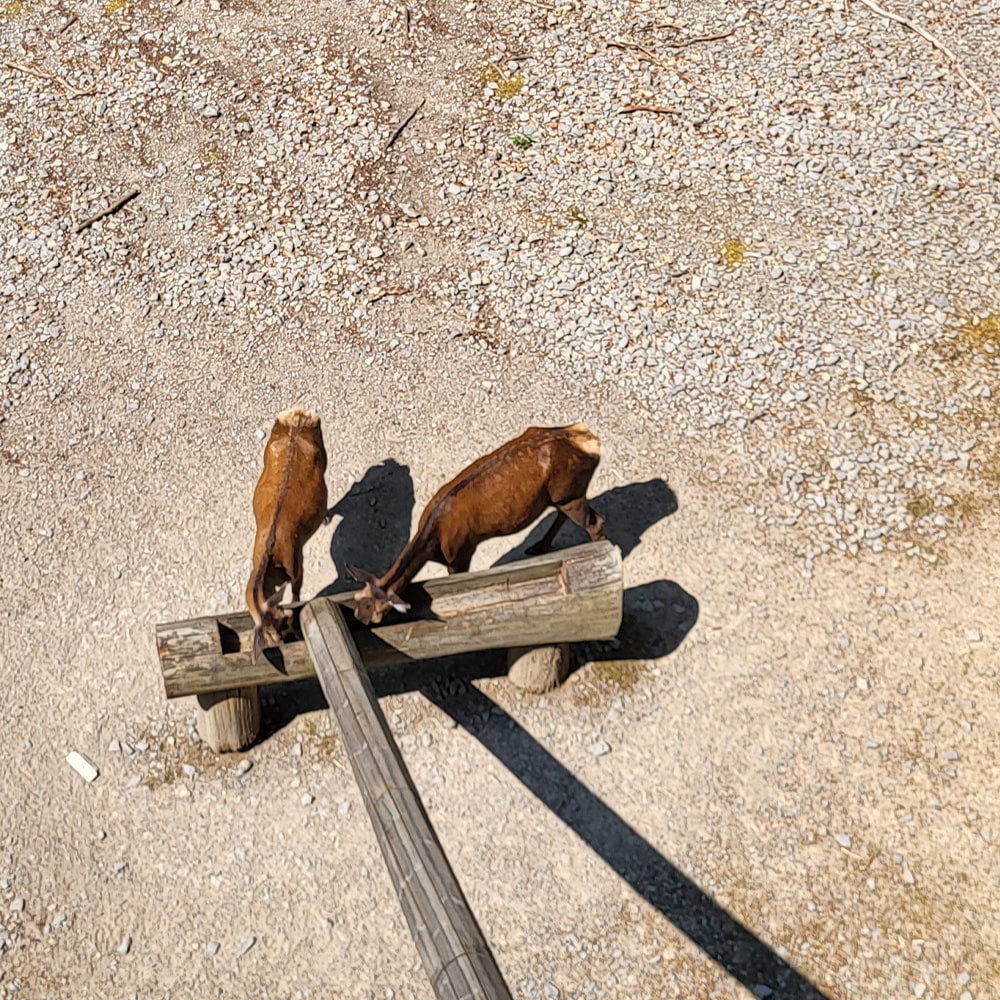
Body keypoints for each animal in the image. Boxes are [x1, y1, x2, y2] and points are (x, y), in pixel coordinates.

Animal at [245, 406, 328, 664]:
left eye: (282, 622)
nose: (290, 638)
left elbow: (296, 592)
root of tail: (297, 415)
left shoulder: (297, 563)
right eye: (271, 633)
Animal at [348, 422, 604, 624]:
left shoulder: (460, 553)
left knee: (596, 522)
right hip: (564, 495)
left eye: (379, 613)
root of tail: (590, 439)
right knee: (567, 515)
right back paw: (539, 547)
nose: (359, 617)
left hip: (569, 493)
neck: (432, 541)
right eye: (358, 597)